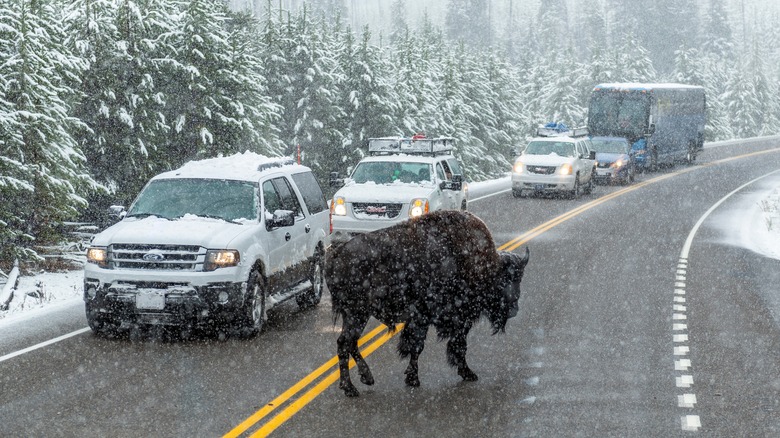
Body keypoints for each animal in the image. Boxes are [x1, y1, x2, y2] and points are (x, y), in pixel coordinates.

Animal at [322, 210, 532, 396]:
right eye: (504, 279)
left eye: (520, 278)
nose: (514, 308)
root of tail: (336, 255)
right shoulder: (434, 318)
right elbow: (429, 346)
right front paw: (420, 378)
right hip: (357, 313)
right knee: (346, 343)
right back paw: (351, 388)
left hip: (355, 315)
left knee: (348, 343)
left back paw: (365, 379)